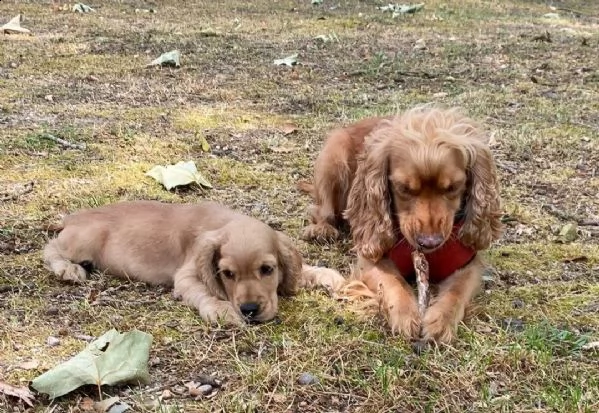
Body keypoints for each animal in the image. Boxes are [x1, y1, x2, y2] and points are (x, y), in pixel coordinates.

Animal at [43, 200, 346, 326]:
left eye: (267, 269)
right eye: (227, 273)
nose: (249, 310)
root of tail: (73, 216)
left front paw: (326, 276)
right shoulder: (187, 275)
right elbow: (203, 292)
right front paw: (222, 310)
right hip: (84, 240)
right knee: (50, 247)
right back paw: (68, 268)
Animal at [302, 106, 504, 342]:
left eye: (453, 187)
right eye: (404, 188)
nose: (429, 242)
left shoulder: (469, 264)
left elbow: (457, 291)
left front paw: (441, 320)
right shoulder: (370, 258)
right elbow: (392, 281)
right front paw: (406, 314)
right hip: (333, 158)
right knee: (323, 208)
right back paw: (322, 229)